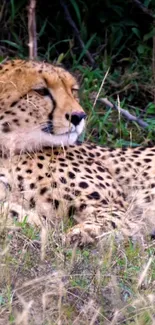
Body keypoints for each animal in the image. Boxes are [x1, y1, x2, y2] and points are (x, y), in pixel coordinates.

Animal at [0, 59, 154, 244]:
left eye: (72, 91)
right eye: (41, 91)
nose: (79, 116)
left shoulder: (119, 210)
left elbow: (113, 221)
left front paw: (83, 233)